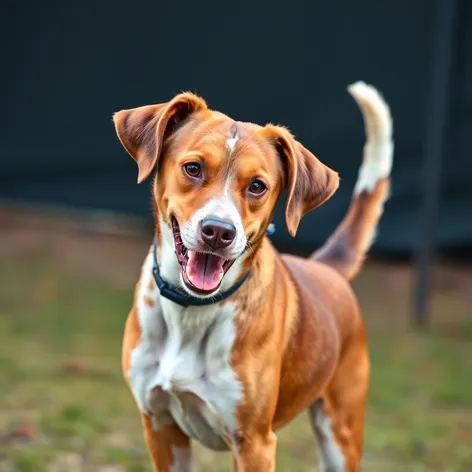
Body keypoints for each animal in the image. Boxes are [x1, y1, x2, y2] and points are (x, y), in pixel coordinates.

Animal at [114, 82, 394, 472]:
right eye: (193, 168)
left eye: (258, 186)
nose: (218, 231)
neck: (191, 312)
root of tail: (325, 267)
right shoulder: (160, 426)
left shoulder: (254, 443)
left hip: (340, 432)